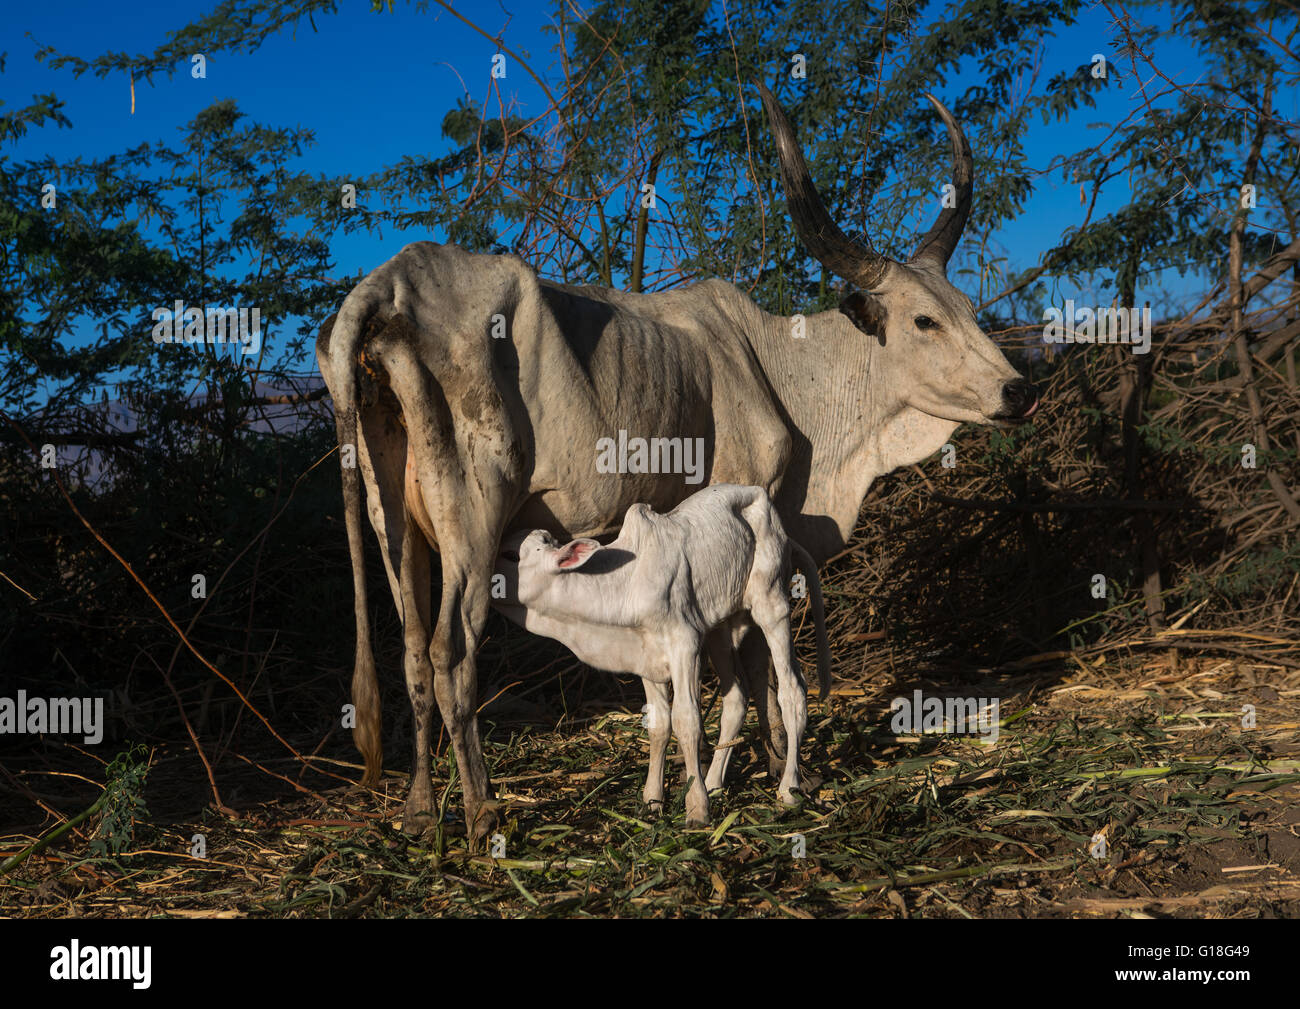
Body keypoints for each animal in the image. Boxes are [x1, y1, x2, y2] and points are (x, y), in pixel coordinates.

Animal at [491, 486, 826, 826]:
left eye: (510, 555)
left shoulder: (685, 644)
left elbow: (687, 722)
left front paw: (696, 807)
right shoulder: (646, 657)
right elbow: (658, 725)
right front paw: (653, 799)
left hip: (771, 604)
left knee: (792, 692)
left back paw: (788, 789)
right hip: (720, 627)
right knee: (736, 699)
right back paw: (715, 783)